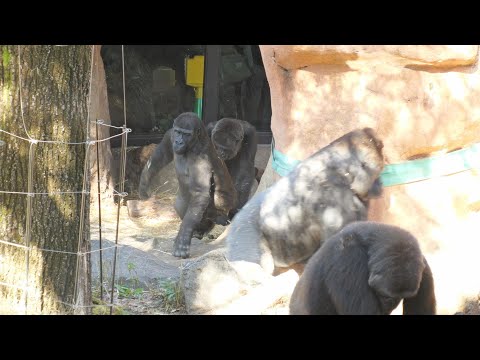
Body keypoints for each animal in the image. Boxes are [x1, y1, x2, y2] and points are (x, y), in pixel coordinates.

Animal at [138, 112, 237, 258]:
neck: (194, 142)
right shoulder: (169, 135)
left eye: (186, 134)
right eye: (178, 132)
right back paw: (200, 230)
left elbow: (201, 192)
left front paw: (183, 239)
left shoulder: (201, 158)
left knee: (217, 201)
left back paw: (218, 218)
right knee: (181, 206)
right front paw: (143, 185)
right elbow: (160, 156)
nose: (179, 141)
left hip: (227, 203)